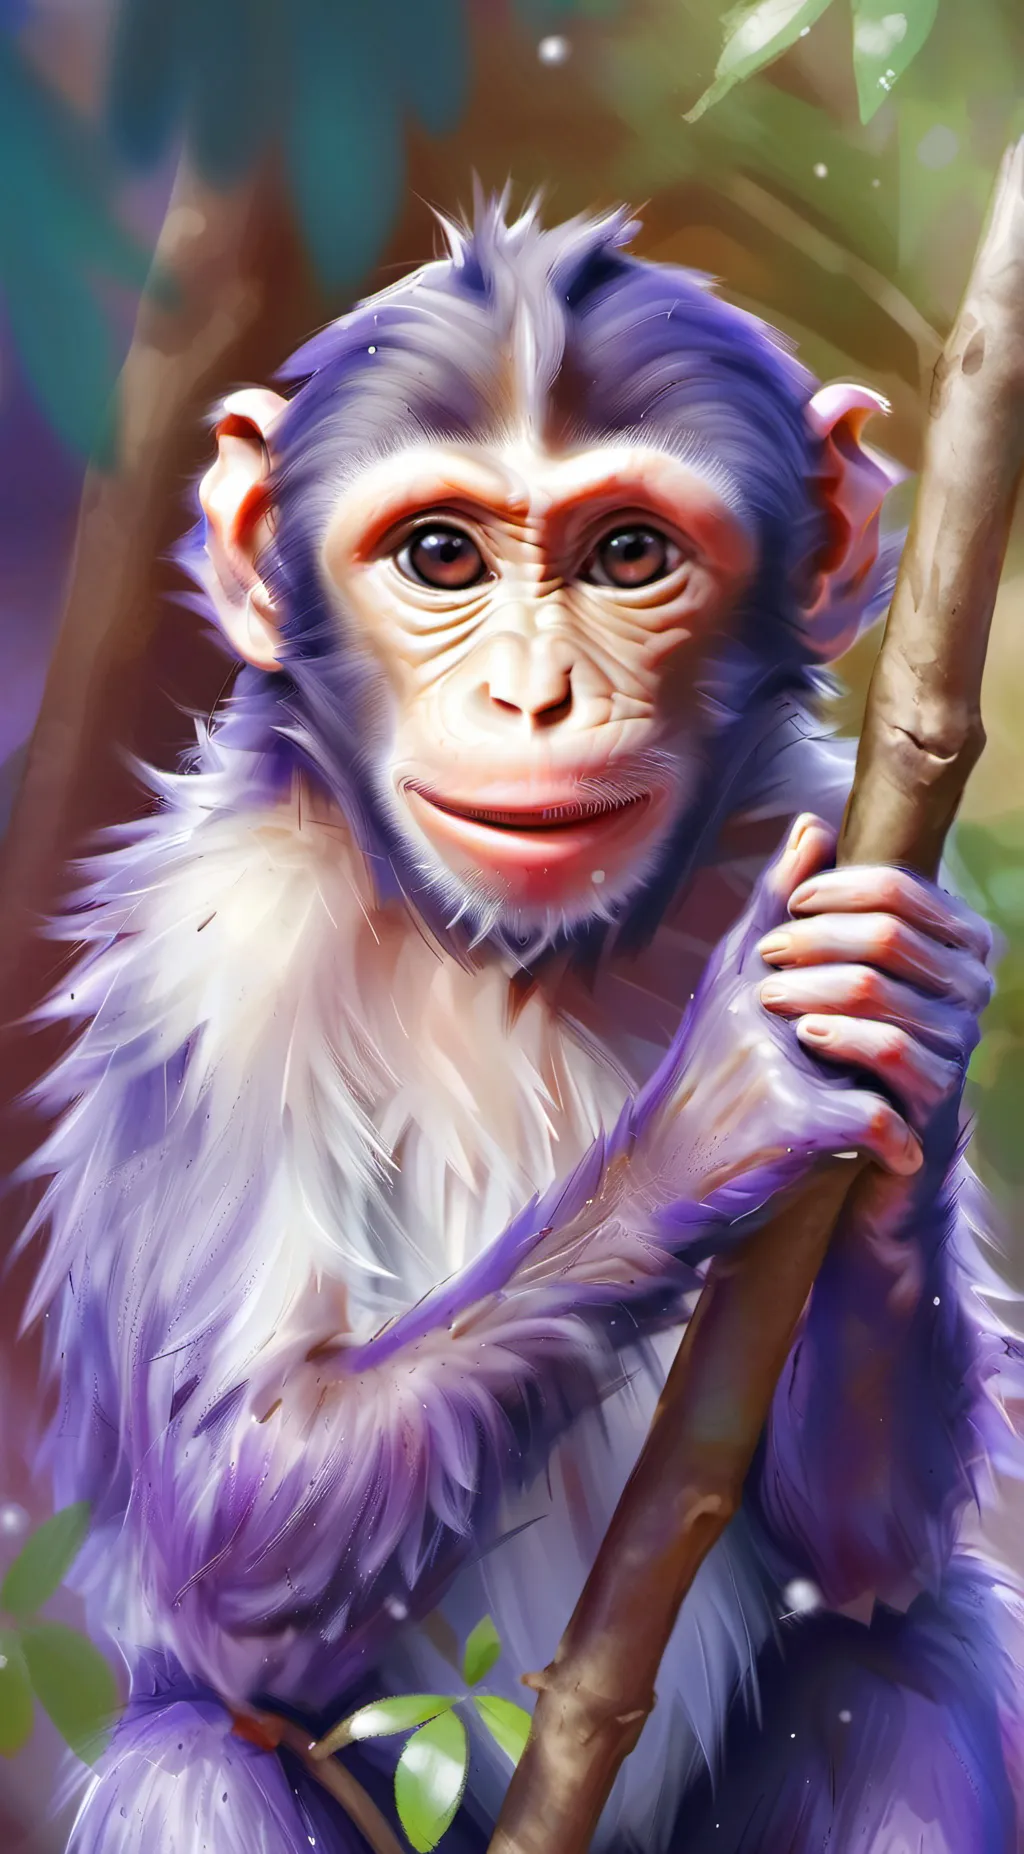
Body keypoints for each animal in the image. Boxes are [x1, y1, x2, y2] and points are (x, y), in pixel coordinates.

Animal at [21, 195, 1024, 1853]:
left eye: (630, 554)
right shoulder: (215, 960)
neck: (512, 954)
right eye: (440, 554)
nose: (534, 695)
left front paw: (906, 1017)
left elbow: (871, 1549)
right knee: (191, 1758)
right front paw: (712, 1111)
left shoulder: (812, 817)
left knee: (910, 1652)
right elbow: (230, 1525)